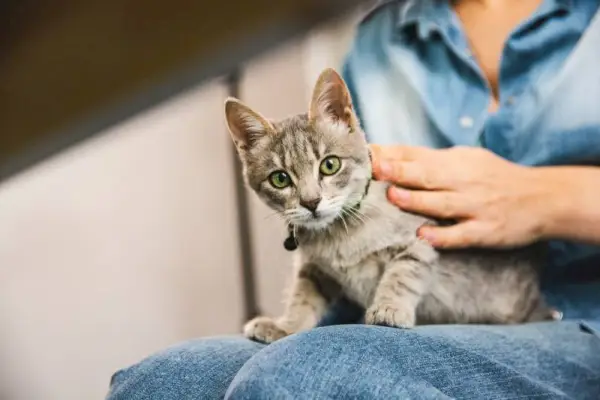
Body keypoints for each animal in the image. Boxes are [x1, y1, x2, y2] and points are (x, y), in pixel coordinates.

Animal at [226, 66, 556, 344]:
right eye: (280, 179)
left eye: (330, 165)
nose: (311, 202)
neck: (340, 234)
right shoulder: (314, 269)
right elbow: (302, 297)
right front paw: (285, 326)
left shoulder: (419, 239)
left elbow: (402, 275)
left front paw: (388, 309)